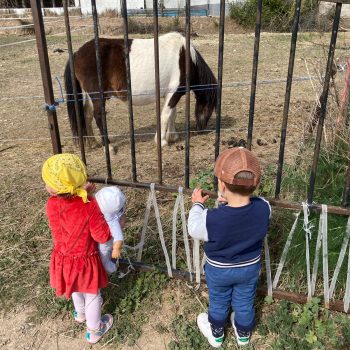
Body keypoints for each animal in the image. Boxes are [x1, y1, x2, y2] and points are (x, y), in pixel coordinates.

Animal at [63, 30, 216, 150]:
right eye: (210, 108)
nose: (201, 129)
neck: (186, 59)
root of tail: (77, 53)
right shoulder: (173, 93)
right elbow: (166, 115)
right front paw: (162, 141)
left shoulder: (171, 94)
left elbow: (172, 114)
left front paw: (172, 136)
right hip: (97, 96)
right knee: (98, 116)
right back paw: (108, 145)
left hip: (89, 95)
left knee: (87, 114)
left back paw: (93, 143)